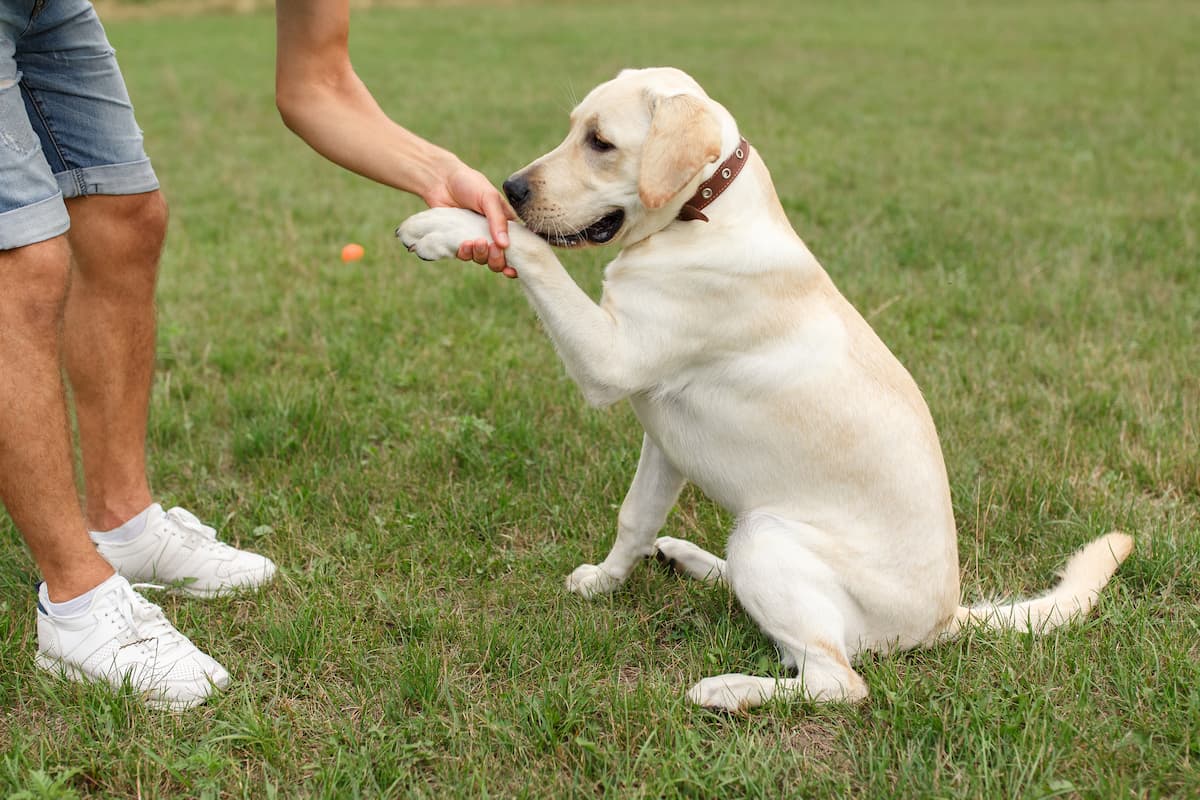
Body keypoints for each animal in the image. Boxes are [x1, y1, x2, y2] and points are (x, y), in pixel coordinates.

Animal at [396, 65, 1132, 710]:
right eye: (574, 127)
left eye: (600, 142)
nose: (510, 186)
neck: (701, 214)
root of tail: (946, 618)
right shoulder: (663, 439)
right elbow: (633, 519)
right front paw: (604, 582)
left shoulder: (610, 361)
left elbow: (533, 251)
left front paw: (447, 226)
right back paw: (691, 560)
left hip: (767, 535)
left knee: (836, 679)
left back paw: (726, 691)